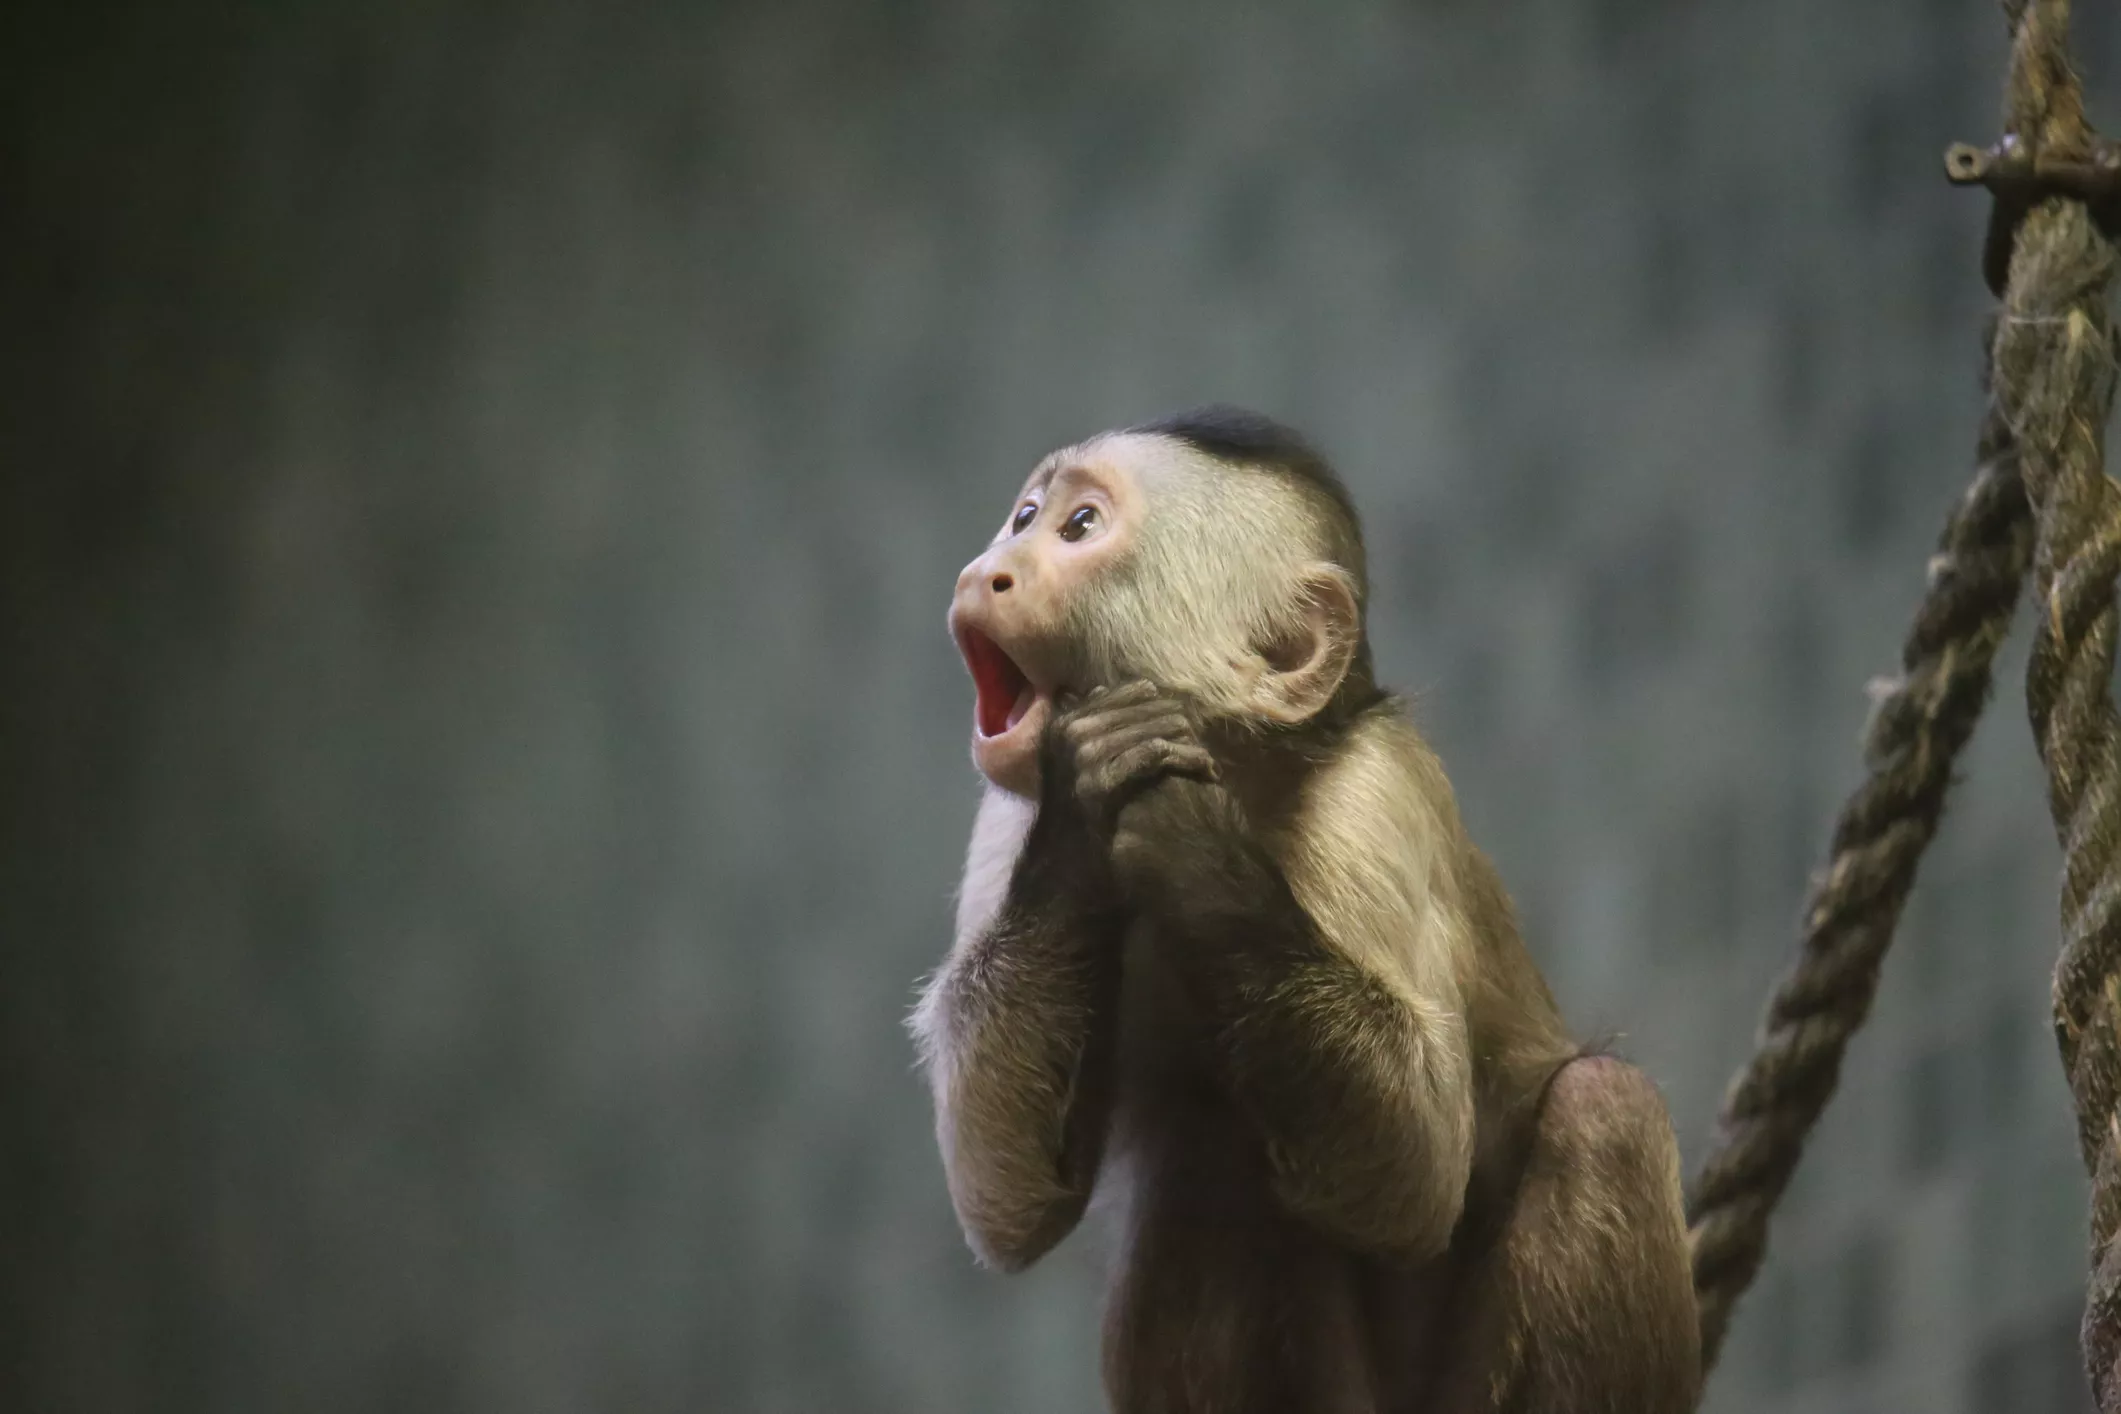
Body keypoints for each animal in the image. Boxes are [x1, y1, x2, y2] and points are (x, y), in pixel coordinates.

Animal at [909, 406, 1701, 1414]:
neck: (1247, 765)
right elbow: (1009, 1202)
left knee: (1605, 1108)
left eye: (1077, 527)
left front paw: (1191, 841)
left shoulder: (1375, 790)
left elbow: (1413, 1175)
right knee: (1207, 1151)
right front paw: (1087, 815)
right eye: (1022, 517)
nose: (989, 569)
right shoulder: (1005, 825)